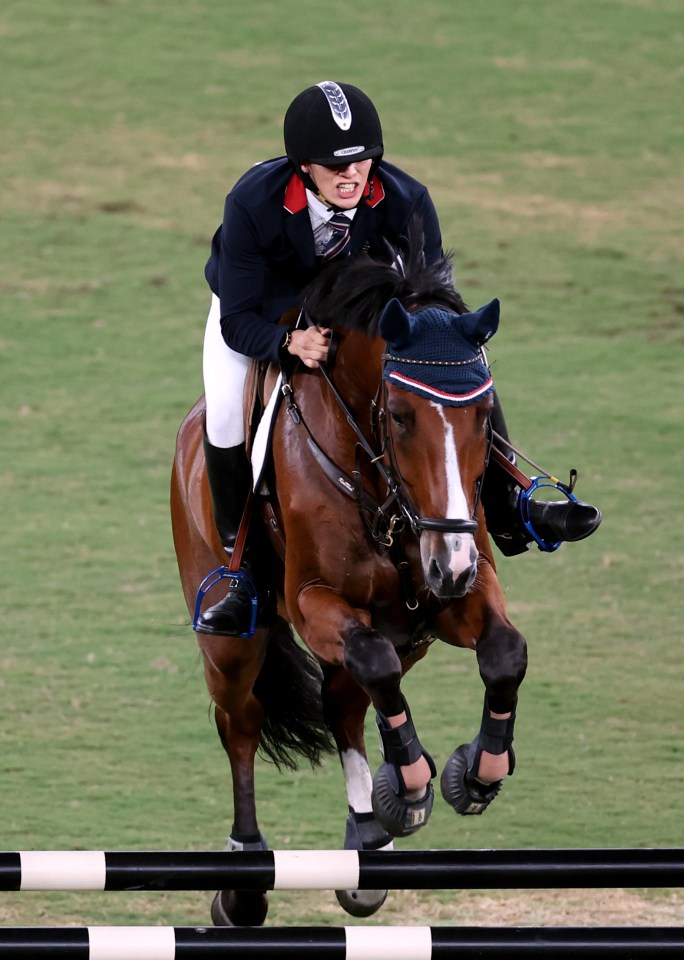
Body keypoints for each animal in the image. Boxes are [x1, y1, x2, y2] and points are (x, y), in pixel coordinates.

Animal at [171, 236, 528, 928]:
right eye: (400, 415)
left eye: (484, 416)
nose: (450, 564)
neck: (379, 488)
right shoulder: (315, 602)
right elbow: (373, 664)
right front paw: (411, 786)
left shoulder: (449, 598)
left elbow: (504, 652)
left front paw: (474, 773)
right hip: (232, 641)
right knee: (243, 719)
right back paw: (246, 875)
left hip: (408, 630)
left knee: (348, 698)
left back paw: (367, 836)